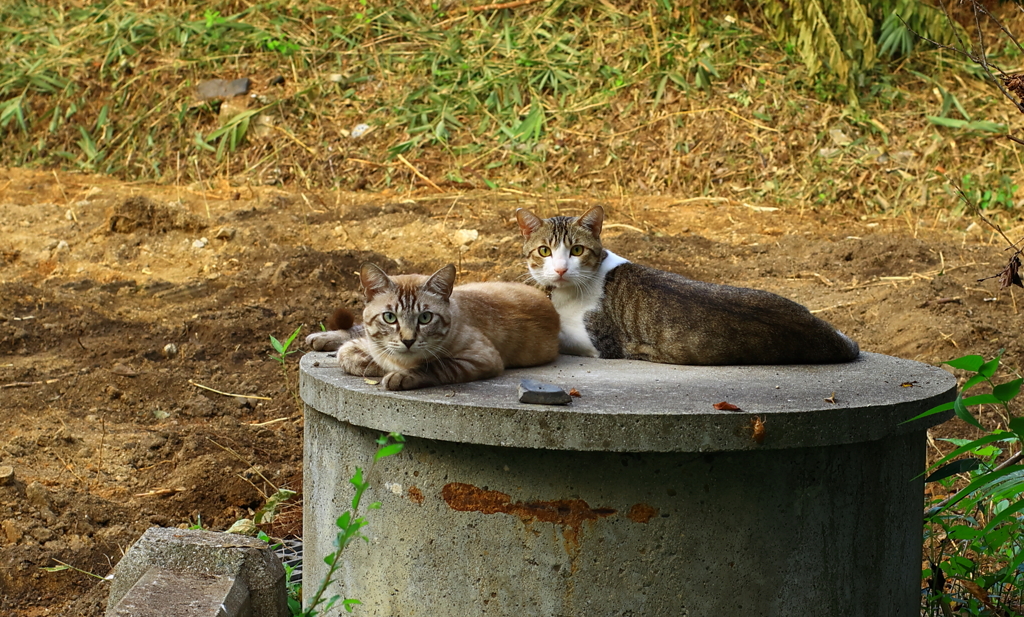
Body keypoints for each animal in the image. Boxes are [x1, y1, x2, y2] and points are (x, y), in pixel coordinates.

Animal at [307, 261, 561, 390]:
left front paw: (399, 374)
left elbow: (436, 366)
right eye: (389, 317)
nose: (408, 340)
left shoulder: (483, 358)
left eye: (425, 318)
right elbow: (351, 354)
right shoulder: (368, 344)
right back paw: (321, 337)